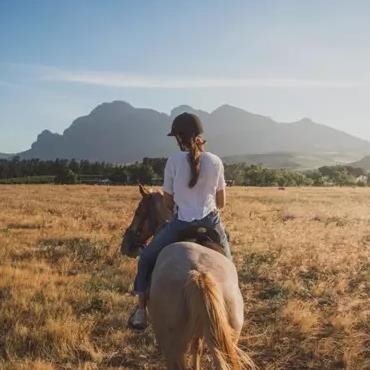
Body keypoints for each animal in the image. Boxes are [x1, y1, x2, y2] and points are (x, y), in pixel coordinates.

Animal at [121, 186, 254, 370]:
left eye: (138, 210)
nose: (126, 245)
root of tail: (199, 273)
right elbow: (197, 348)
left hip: (171, 348)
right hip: (229, 336)